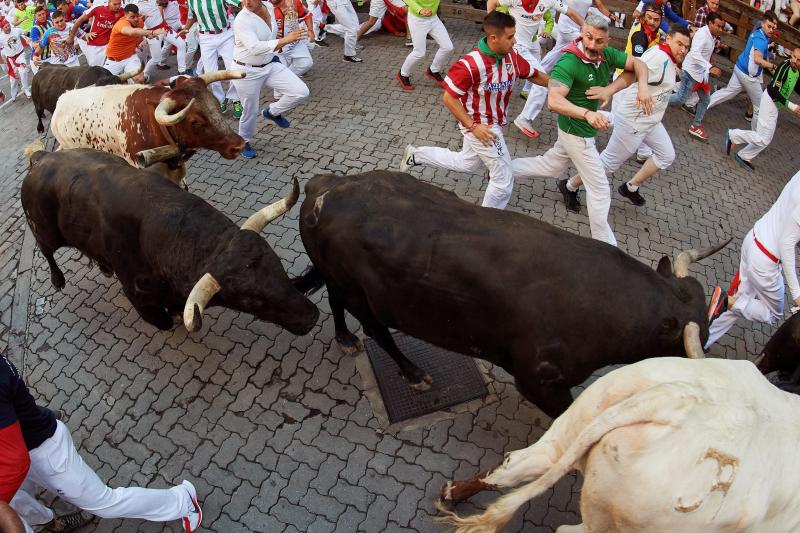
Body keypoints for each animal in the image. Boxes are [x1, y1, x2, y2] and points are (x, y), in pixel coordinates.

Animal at [20, 148, 318, 334]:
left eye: (278, 265)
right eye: (251, 299)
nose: (310, 317)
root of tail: (42, 157)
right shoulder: (137, 294)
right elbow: (161, 320)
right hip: (44, 231)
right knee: (46, 251)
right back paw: (58, 280)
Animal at [296, 172, 728, 418]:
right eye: (694, 343)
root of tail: (325, 186)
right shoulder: (538, 381)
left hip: (338, 278)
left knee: (335, 303)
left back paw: (345, 338)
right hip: (360, 292)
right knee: (377, 330)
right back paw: (414, 373)